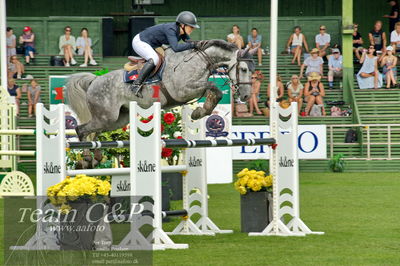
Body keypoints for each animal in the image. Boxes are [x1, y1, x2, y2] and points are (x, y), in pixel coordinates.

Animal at [65, 40, 253, 139]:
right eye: (244, 69)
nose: (246, 96)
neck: (200, 60)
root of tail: (94, 81)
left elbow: (215, 92)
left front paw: (200, 111)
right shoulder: (183, 90)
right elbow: (213, 87)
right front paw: (198, 112)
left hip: (116, 120)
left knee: (91, 131)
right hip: (106, 117)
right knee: (80, 130)